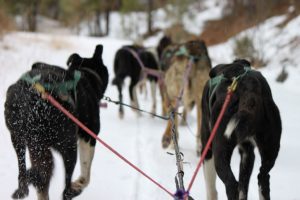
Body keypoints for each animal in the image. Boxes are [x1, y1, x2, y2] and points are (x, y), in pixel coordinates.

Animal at [4, 44, 109, 199]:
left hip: (21, 141)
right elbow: (86, 173)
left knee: (26, 172)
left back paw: (23, 188)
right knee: (65, 185)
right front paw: (80, 183)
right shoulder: (89, 136)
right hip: (69, 147)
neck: (85, 75)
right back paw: (71, 192)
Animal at [200, 59, 282, 200]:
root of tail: (249, 87)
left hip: (220, 152)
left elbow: (211, 189)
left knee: (232, 184)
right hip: (269, 152)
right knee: (262, 177)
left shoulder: (208, 149)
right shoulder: (247, 152)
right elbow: (244, 186)